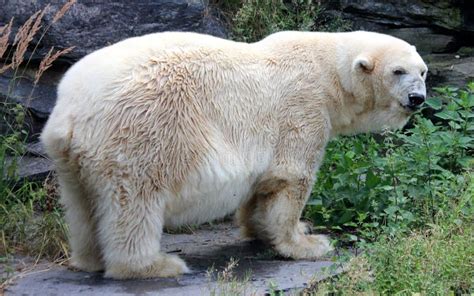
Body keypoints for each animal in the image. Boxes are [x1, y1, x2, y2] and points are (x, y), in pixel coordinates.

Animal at [39, 31, 426, 278]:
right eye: (398, 71)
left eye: (422, 71)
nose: (418, 98)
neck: (328, 69)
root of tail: (71, 112)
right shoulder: (302, 107)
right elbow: (291, 177)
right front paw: (307, 243)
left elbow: (260, 188)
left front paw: (267, 229)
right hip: (143, 132)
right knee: (135, 201)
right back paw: (154, 266)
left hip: (72, 158)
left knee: (81, 204)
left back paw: (89, 259)